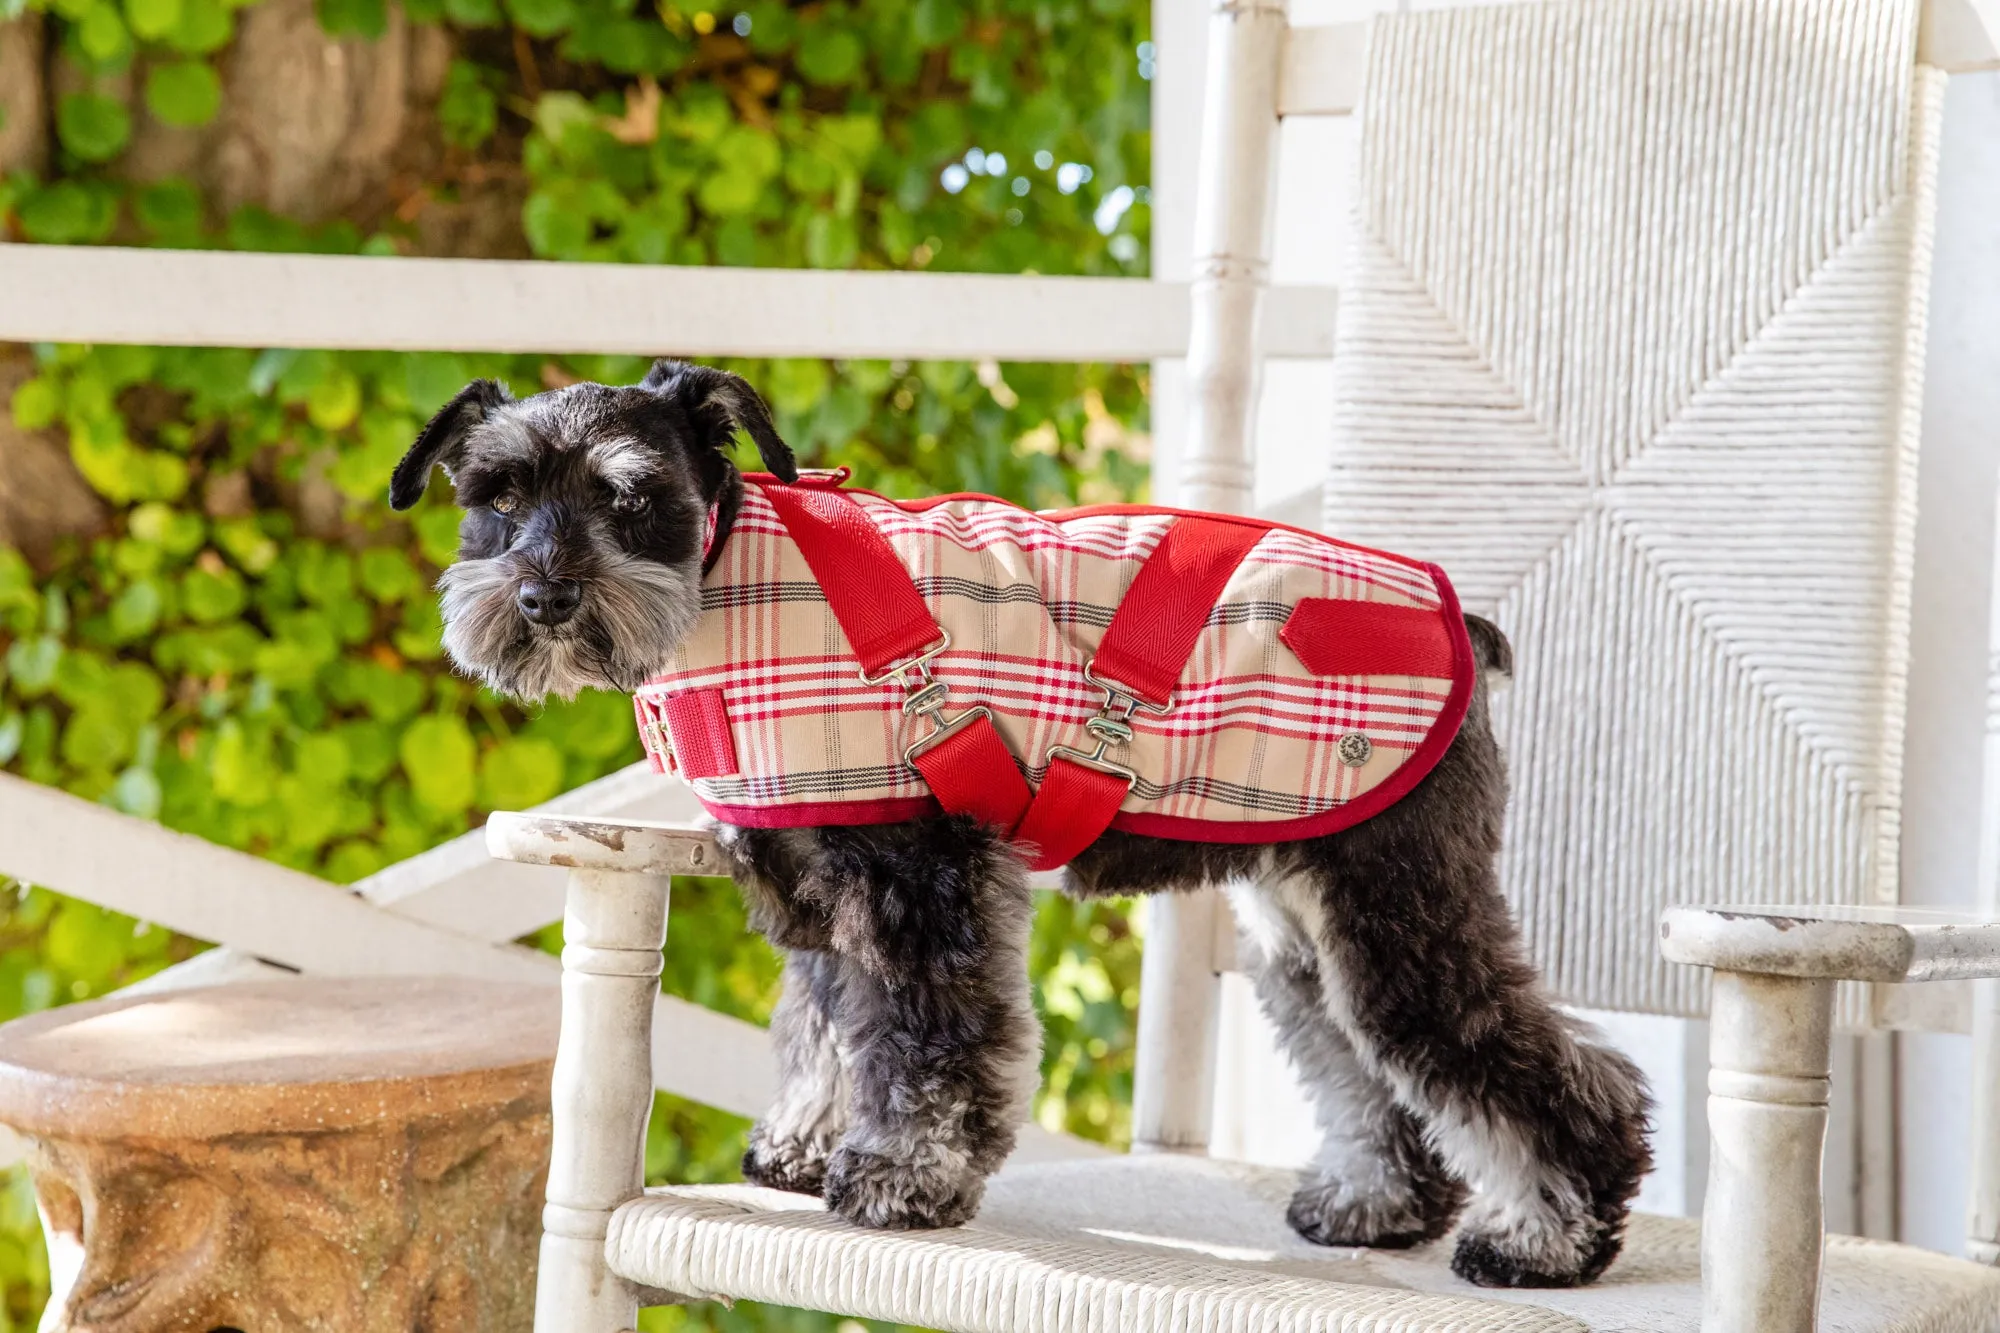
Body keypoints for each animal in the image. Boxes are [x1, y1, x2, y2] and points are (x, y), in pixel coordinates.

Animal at [390, 358, 1656, 1280]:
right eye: (494, 499)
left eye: (629, 494)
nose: (544, 597)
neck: (723, 584)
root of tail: (1464, 626)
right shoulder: (820, 891)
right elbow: (825, 1028)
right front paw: (803, 1144)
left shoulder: (918, 884)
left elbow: (925, 1043)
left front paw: (901, 1176)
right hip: (1313, 924)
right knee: (1362, 1066)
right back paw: (1374, 1205)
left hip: (1397, 912)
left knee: (1529, 1069)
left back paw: (1542, 1240)